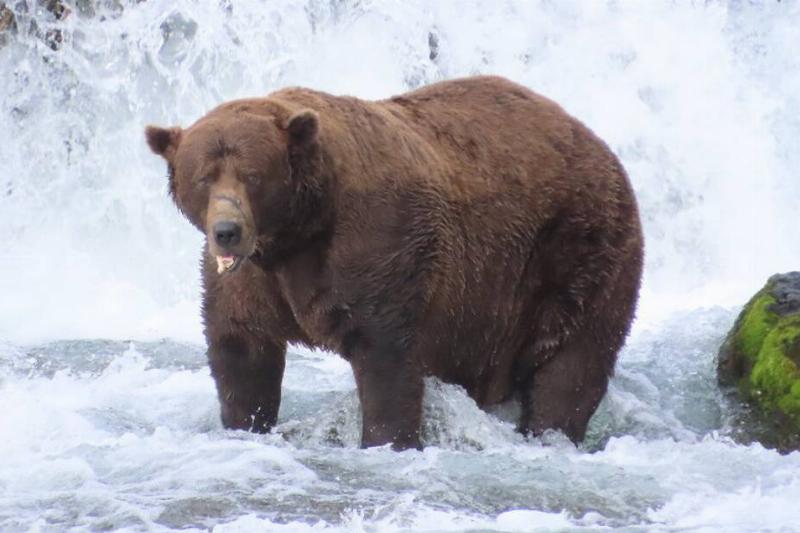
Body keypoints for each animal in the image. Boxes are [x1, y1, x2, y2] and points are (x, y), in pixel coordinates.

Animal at [145, 75, 643, 451]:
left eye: (253, 175)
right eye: (204, 177)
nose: (227, 230)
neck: (298, 232)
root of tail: (599, 144)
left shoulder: (379, 245)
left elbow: (386, 356)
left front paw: (388, 440)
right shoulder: (251, 280)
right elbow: (241, 349)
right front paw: (245, 422)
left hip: (577, 251)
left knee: (572, 362)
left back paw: (550, 432)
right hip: (488, 308)